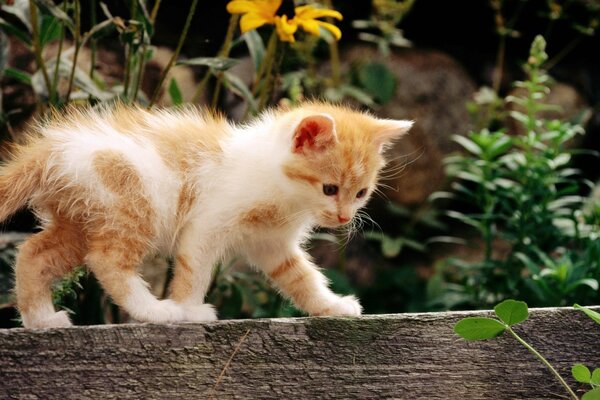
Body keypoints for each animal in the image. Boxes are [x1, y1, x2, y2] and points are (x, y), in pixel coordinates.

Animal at [0, 102, 412, 328]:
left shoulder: (272, 244)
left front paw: (332, 306)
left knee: (33, 253)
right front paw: (188, 309)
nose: (343, 218)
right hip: (132, 207)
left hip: (81, 220)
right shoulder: (206, 225)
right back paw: (155, 311)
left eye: (360, 193)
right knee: (107, 260)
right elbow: (194, 270)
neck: (279, 190)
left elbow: (302, 279)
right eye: (329, 189)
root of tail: (51, 148)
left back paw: (41, 319)